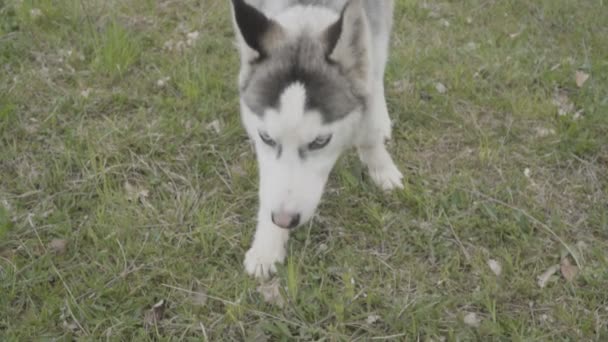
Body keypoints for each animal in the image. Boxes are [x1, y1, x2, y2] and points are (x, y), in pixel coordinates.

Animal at [230, 0, 402, 278]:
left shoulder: (376, 31)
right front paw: (268, 243)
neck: (307, 12)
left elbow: (368, 123)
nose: (284, 220)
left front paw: (381, 167)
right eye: (266, 137)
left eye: (320, 142)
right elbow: (270, 185)